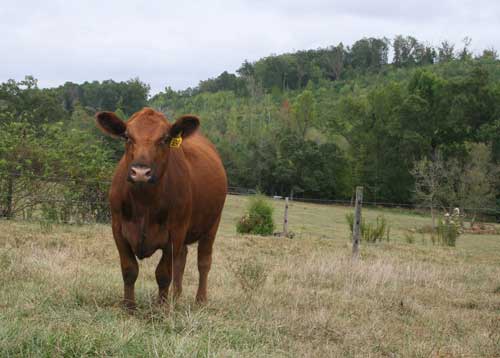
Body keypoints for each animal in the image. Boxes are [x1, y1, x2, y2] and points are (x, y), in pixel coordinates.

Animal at [95, 107, 227, 310]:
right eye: (127, 136)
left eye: (165, 138)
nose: (141, 172)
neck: (144, 203)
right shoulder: (118, 229)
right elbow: (129, 269)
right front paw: (129, 307)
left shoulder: (175, 233)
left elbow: (164, 274)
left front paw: (160, 309)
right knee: (182, 259)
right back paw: (175, 297)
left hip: (212, 224)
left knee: (203, 262)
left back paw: (200, 301)